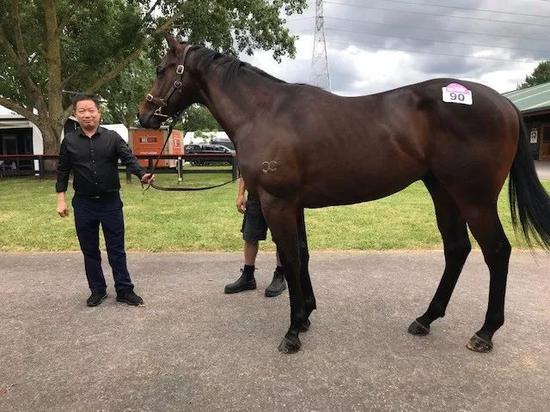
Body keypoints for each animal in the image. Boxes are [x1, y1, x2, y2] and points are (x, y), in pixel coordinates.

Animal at [140, 36, 550, 354]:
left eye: (161, 68)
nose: (145, 115)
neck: (264, 111)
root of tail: (505, 103)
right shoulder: (295, 205)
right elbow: (303, 255)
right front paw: (306, 315)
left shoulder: (277, 202)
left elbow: (291, 259)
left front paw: (292, 332)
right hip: (443, 192)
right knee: (457, 250)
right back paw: (425, 318)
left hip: (475, 199)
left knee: (496, 252)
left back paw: (484, 333)